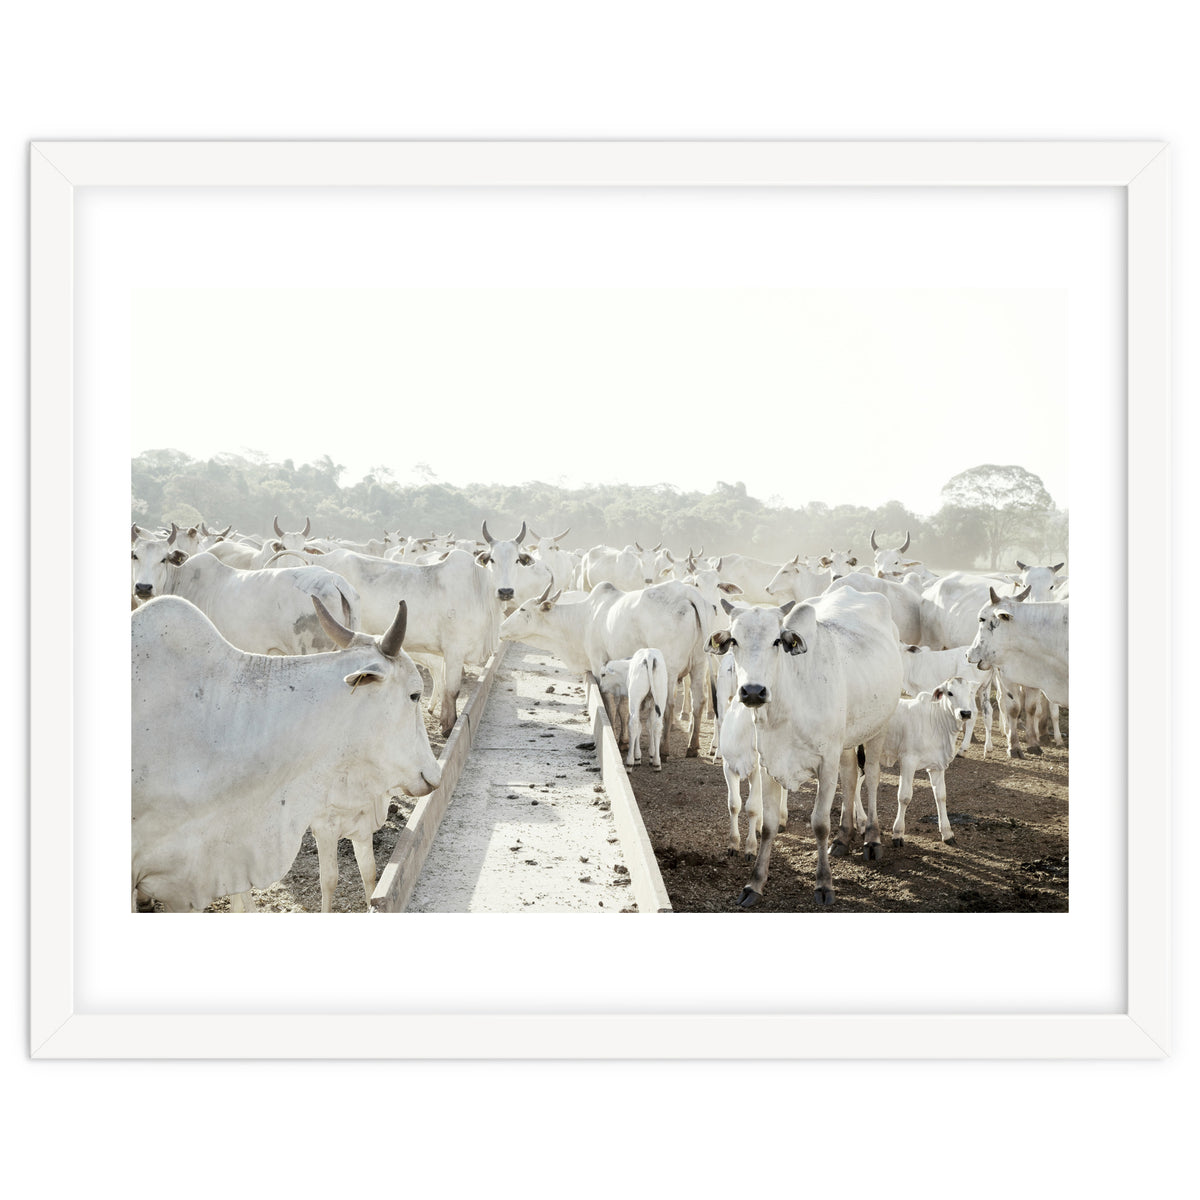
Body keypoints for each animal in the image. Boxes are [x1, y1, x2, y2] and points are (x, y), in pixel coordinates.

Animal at [499, 580, 709, 757]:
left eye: (523, 609)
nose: (501, 628)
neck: (584, 618)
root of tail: (686, 592)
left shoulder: (599, 664)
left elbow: (609, 703)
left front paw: (615, 736)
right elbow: (624, 707)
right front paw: (624, 740)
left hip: (669, 670)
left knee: (669, 705)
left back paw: (664, 750)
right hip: (699, 664)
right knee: (699, 701)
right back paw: (693, 746)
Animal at [709, 587, 902, 907]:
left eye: (777, 640)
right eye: (734, 640)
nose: (752, 691)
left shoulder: (826, 762)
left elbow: (820, 823)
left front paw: (824, 884)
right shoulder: (768, 763)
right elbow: (767, 825)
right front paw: (754, 884)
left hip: (879, 726)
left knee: (872, 777)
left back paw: (872, 839)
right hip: (845, 742)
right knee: (851, 777)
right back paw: (843, 836)